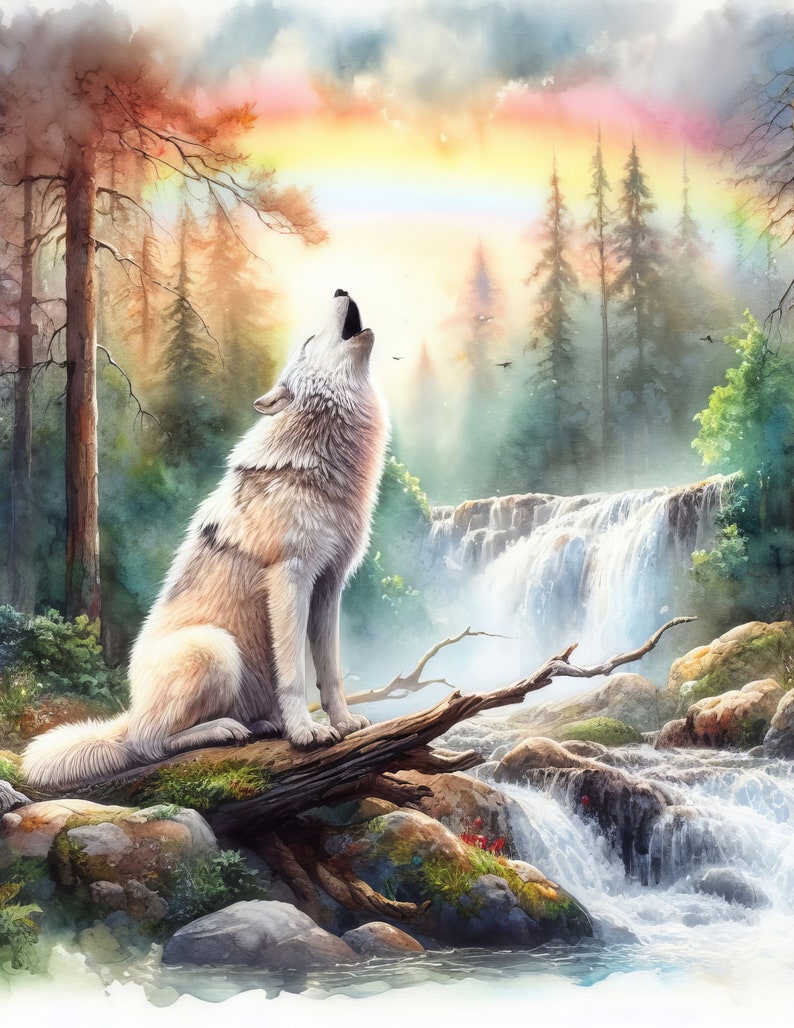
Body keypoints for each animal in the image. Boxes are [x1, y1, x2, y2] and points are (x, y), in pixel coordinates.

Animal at [22, 289, 389, 791]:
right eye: (309, 341)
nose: (339, 290)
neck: (321, 461)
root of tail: (130, 713)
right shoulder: (289, 578)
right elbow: (294, 673)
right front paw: (305, 733)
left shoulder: (330, 586)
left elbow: (330, 671)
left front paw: (345, 723)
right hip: (215, 649)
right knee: (149, 745)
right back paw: (224, 730)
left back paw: (262, 724)